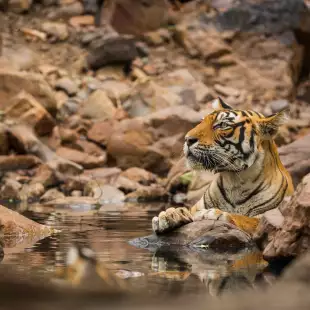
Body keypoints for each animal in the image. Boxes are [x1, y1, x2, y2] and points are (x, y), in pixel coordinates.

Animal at [151, 98, 294, 236]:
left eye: (222, 125)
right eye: (201, 122)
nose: (187, 139)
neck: (236, 181)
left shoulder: (267, 216)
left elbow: (245, 219)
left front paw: (213, 213)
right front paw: (169, 215)